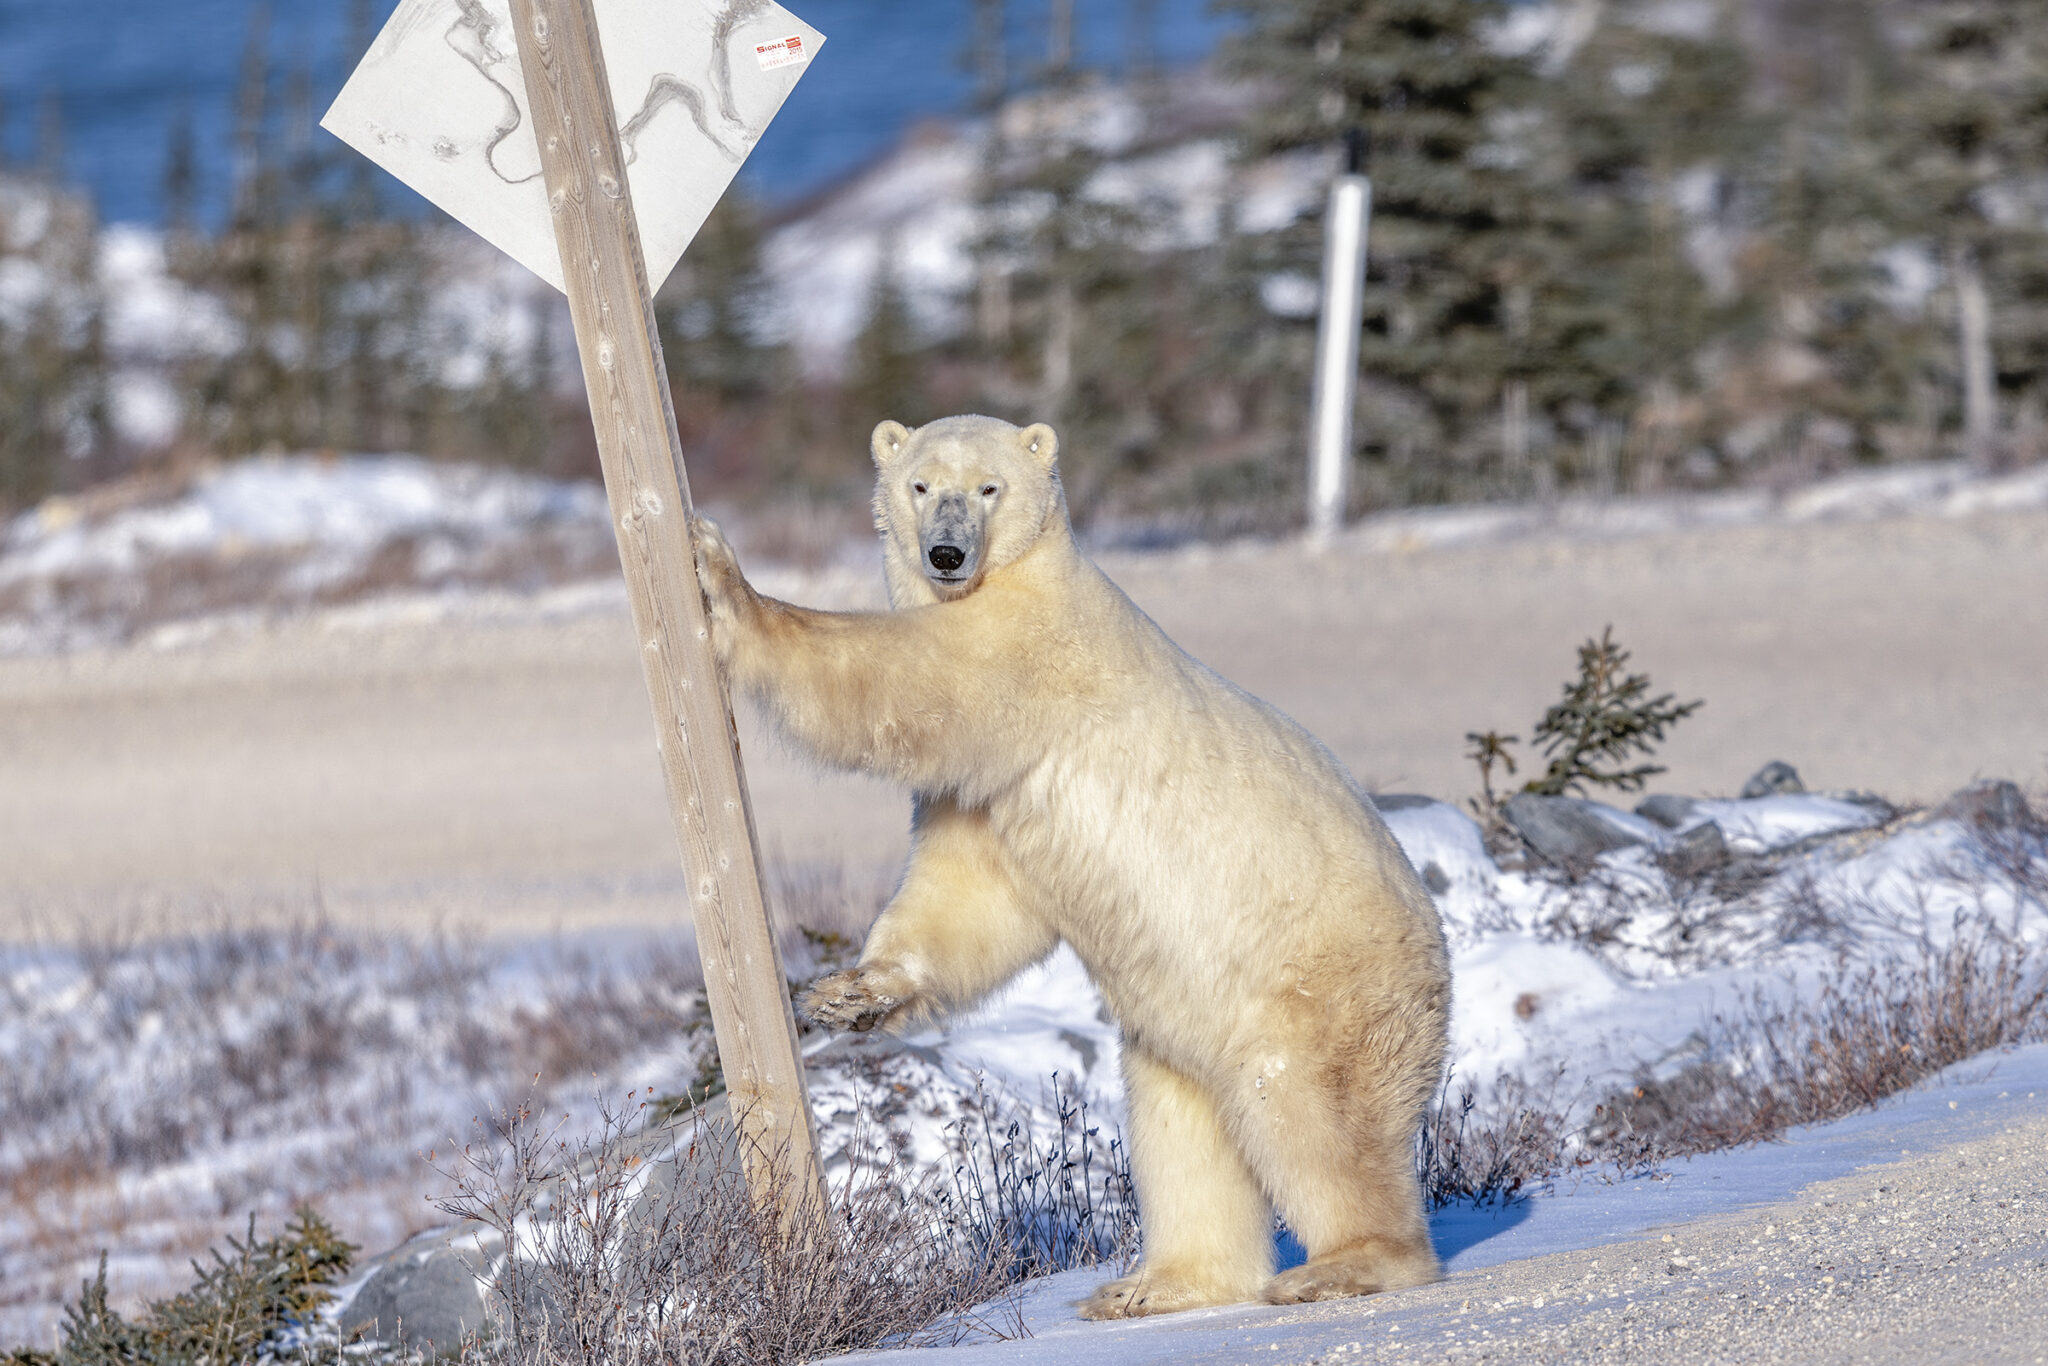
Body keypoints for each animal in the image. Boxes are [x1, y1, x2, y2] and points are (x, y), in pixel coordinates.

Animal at [689, 414, 1450, 1318]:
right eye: (920, 484)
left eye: (988, 487)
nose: (947, 553)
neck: (1028, 573)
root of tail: (1433, 953)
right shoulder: (991, 795)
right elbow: (968, 896)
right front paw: (850, 994)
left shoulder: (1024, 653)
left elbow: (895, 678)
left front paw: (720, 576)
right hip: (1182, 1031)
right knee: (1182, 1131)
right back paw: (1153, 1286)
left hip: (1313, 983)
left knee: (1313, 1115)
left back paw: (1344, 1264)